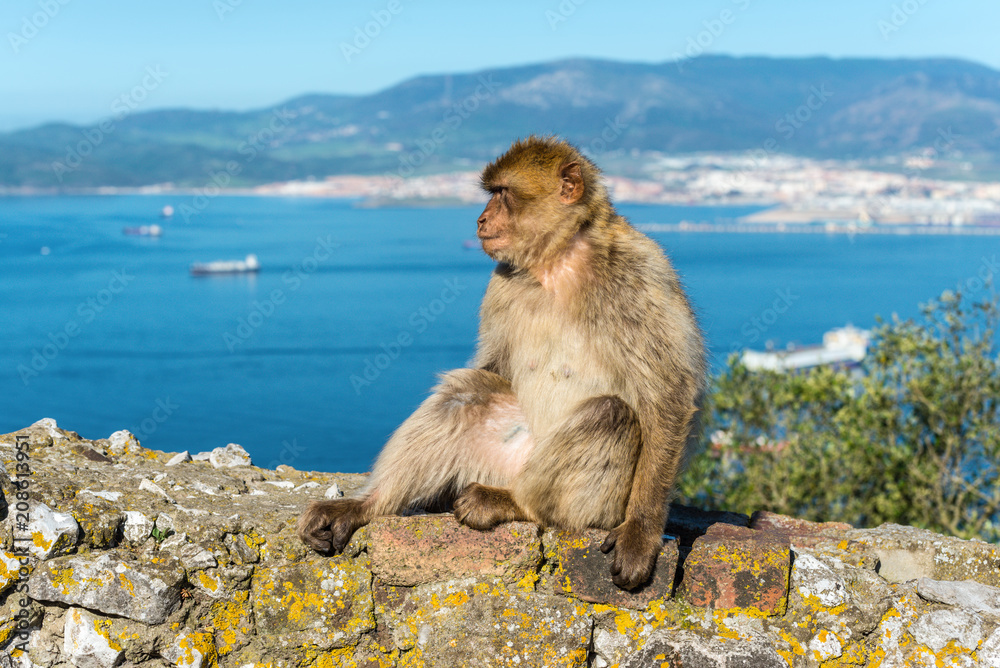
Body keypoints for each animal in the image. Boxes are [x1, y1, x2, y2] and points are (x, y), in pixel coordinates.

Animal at [298, 136, 706, 590]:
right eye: (490, 193)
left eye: (503, 193)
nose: (480, 218)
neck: (556, 260)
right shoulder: (501, 281)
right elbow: (493, 369)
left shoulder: (640, 273)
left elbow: (668, 394)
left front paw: (641, 532)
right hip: (502, 461)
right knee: (467, 393)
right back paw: (368, 505)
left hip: (601, 502)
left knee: (608, 414)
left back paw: (515, 504)